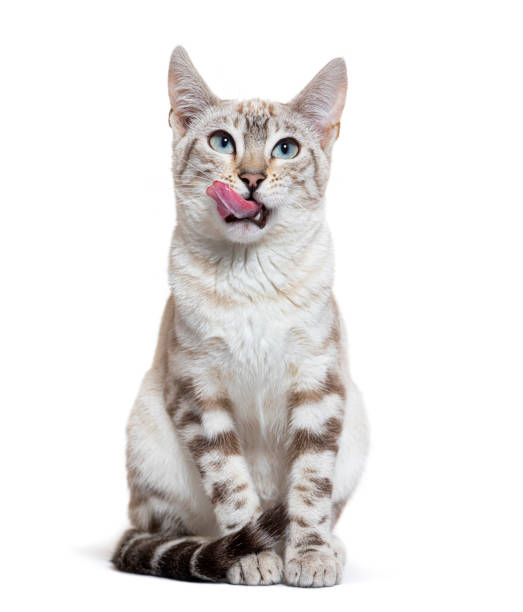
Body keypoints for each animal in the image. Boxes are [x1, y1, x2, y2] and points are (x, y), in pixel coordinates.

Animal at [112, 45, 370, 584]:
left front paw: (309, 556)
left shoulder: (320, 386)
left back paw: (328, 548)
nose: (251, 178)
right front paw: (250, 555)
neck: (251, 277)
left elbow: (310, 488)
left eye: (286, 149)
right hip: (147, 437)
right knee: (161, 532)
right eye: (222, 142)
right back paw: (209, 548)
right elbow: (232, 487)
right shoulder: (198, 394)